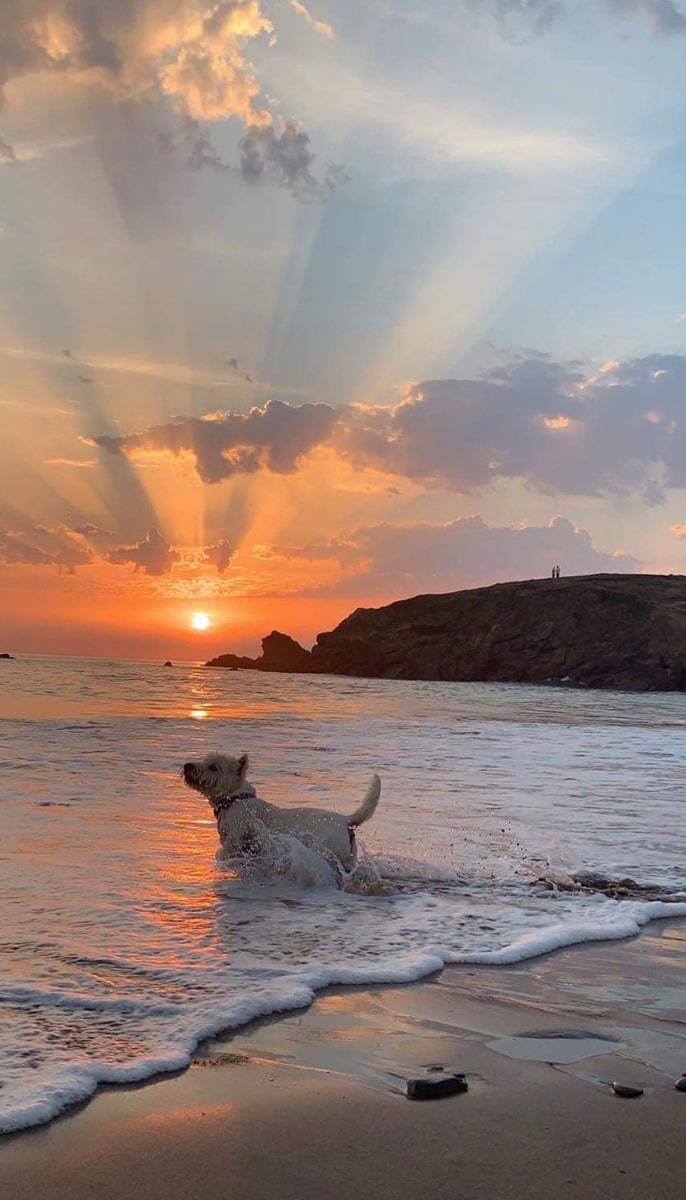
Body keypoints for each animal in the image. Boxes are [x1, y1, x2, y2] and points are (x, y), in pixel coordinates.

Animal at [182, 748, 383, 873]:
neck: (234, 799)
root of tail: (347, 820)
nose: (187, 765)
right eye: (204, 760)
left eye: (213, 767)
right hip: (349, 857)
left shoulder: (234, 840)